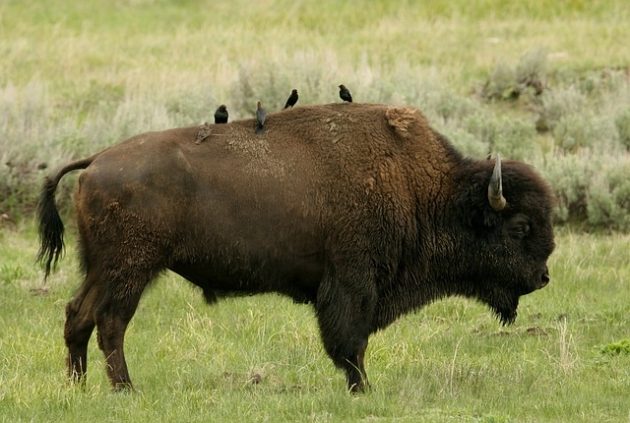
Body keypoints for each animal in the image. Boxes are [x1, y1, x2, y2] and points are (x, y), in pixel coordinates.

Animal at [37, 102, 556, 390]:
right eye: (519, 227)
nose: (543, 277)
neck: (420, 189)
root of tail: (96, 160)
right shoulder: (352, 284)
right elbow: (350, 343)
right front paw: (363, 389)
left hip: (102, 269)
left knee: (78, 315)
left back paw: (79, 387)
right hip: (130, 270)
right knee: (110, 324)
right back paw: (126, 389)